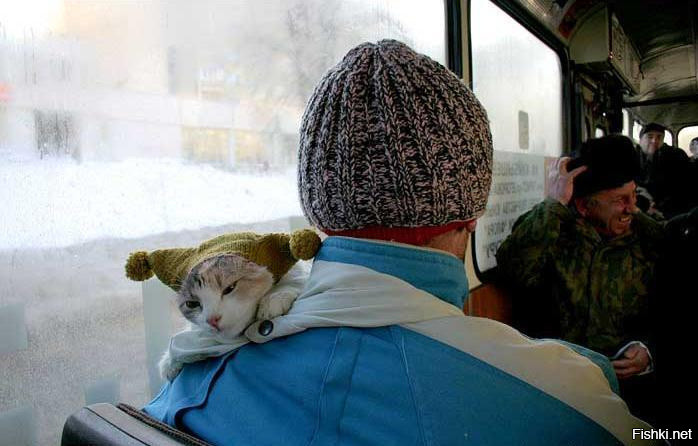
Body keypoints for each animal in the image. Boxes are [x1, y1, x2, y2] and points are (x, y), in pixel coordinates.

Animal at [162, 254, 308, 380]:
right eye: (192, 304)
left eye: (230, 288)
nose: (212, 320)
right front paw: (169, 361)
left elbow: (295, 278)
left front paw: (275, 297)